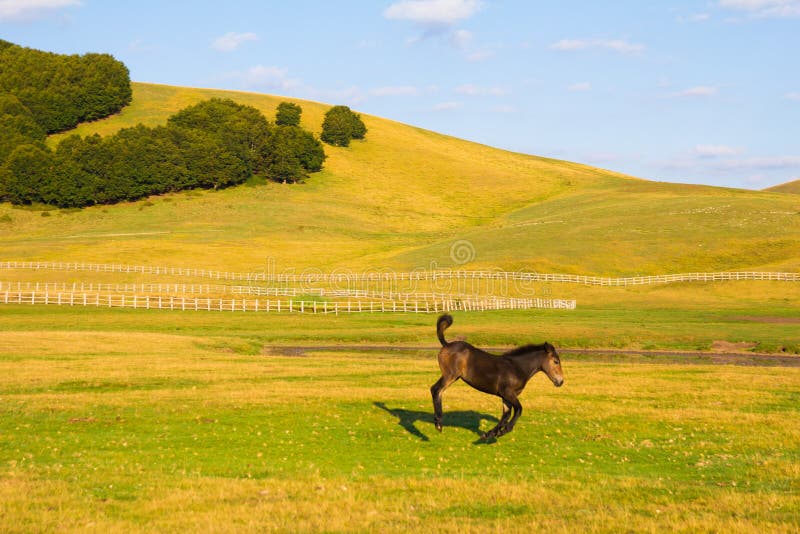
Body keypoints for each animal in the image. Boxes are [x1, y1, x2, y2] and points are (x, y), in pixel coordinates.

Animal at [432, 314, 564, 440]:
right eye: (556, 361)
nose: (561, 381)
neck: (516, 367)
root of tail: (446, 344)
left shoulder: (506, 397)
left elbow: (505, 415)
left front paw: (490, 434)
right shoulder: (508, 393)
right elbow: (518, 409)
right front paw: (503, 431)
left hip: (454, 377)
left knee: (439, 391)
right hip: (450, 375)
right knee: (435, 389)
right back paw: (438, 423)